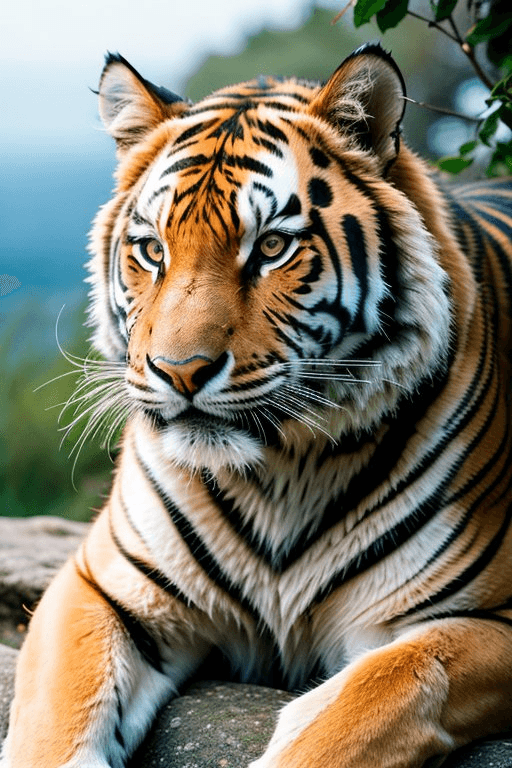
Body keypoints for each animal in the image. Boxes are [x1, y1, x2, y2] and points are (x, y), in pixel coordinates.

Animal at [2, 41, 512, 768]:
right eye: (152, 250)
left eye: (271, 246)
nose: (179, 372)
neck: (280, 473)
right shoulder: (101, 585)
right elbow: (57, 721)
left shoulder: (481, 618)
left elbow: (372, 697)